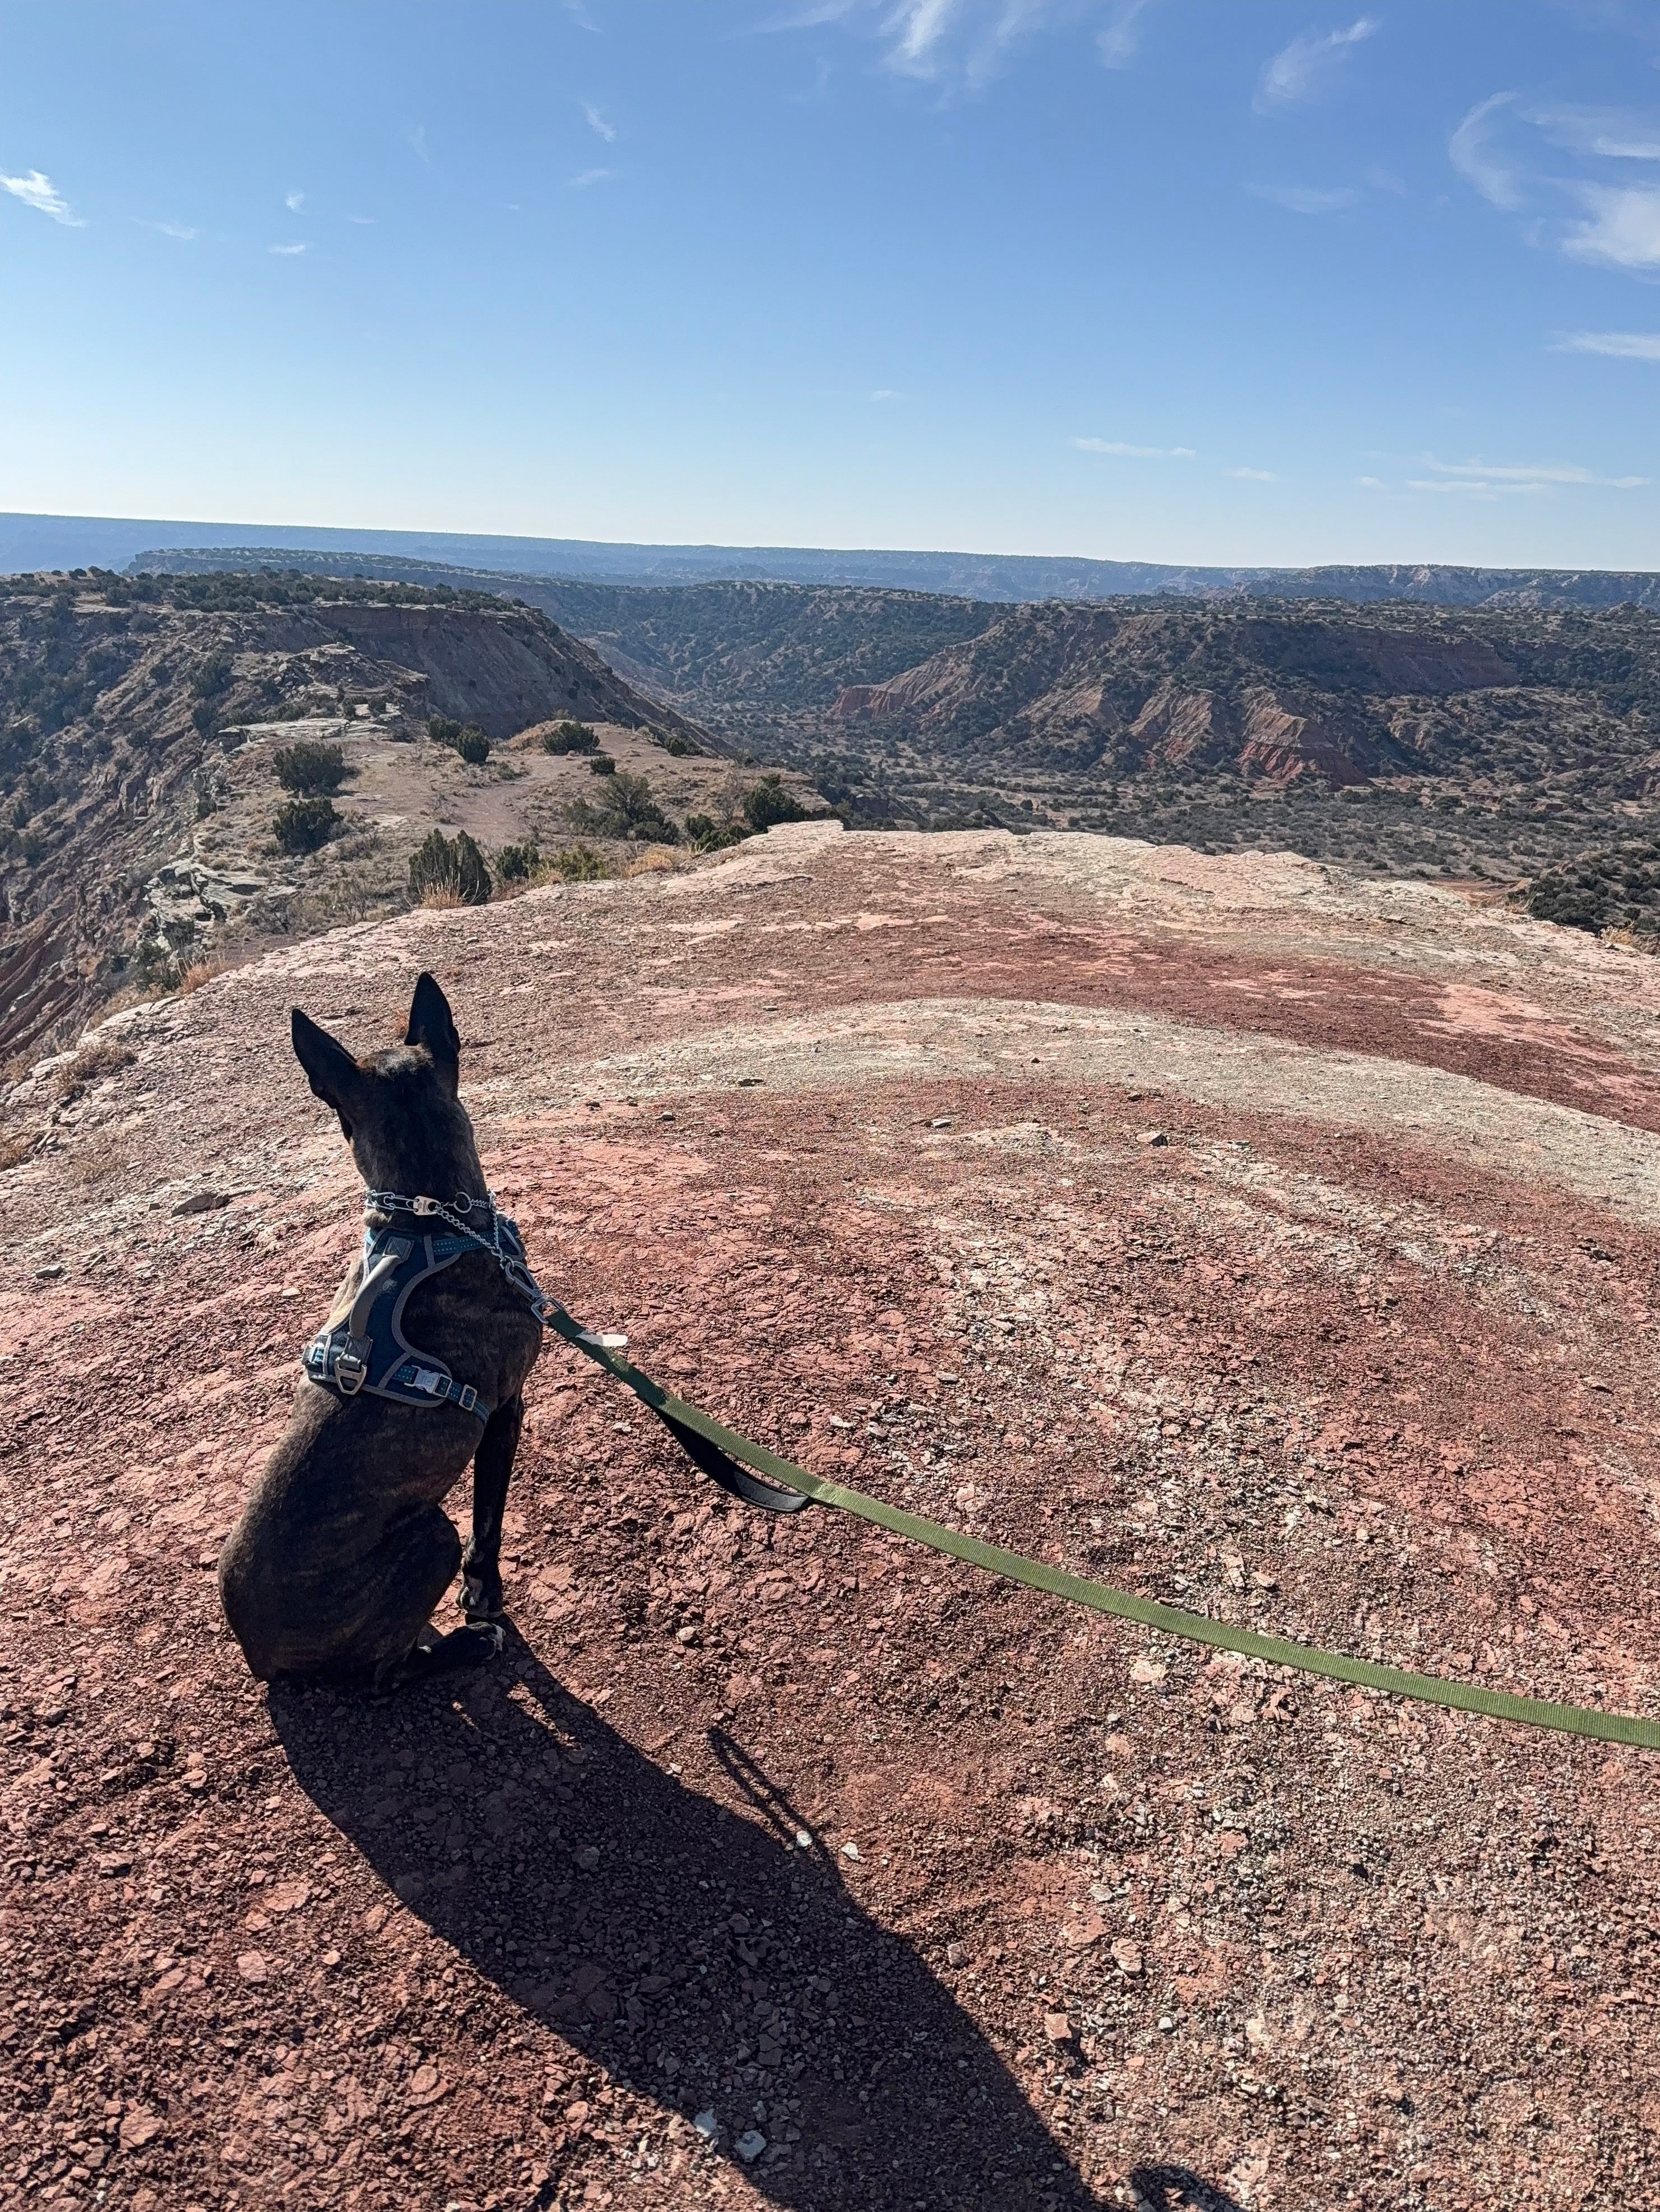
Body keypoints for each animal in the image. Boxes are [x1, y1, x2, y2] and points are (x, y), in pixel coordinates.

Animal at [218, 973, 542, 1690]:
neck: (430, 1218)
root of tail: (257, 1656)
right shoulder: (505, 1410)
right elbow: (488, 1522)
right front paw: (484, 1597)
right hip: (429, 1538)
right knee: (385, 1675)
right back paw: (465, 1647)